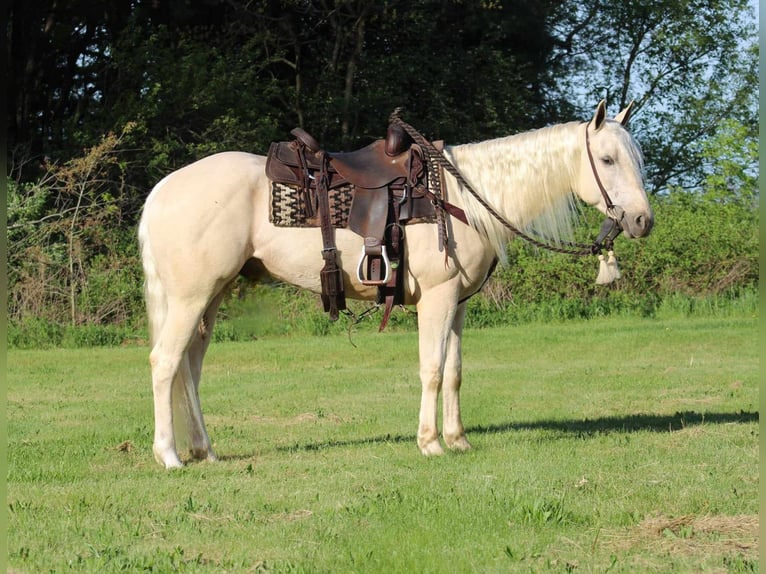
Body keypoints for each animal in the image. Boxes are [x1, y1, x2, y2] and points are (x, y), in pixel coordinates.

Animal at [138, 100, 656, 468]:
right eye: (607, 159)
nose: (642, 220)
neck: (463, 197)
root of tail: (161, 190)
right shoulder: (438, 298)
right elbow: (432, 369)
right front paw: (430, 444)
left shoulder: (459, 304)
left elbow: (455, 371)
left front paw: (458, 439)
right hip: (190, 297)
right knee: (165, 363)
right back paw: (168, 455)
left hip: (210, 298)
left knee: (190, 368)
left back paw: (205, 450)